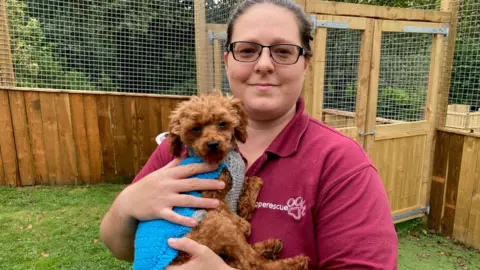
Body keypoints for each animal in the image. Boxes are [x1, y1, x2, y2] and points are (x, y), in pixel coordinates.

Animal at [167, 92, 310, 268]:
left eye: (222, 123)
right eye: (195, 128)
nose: (213, 144)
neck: (221, 160)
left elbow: (254, 181)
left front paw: (247, 207)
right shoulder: (208, 196)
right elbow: (225, 209)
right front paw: (244, 224)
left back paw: (269, 248)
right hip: (218, 226)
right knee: (252, 263)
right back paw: (293, 262)